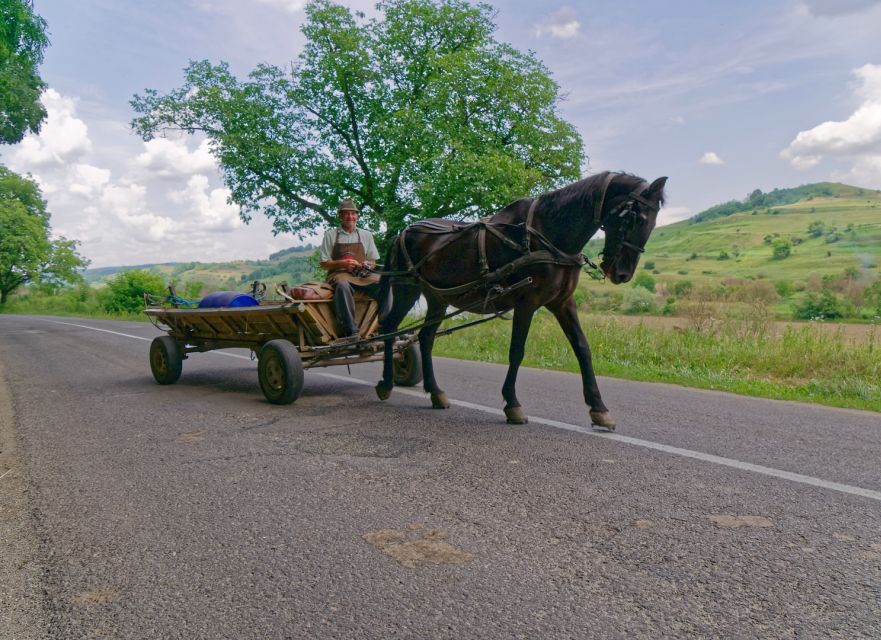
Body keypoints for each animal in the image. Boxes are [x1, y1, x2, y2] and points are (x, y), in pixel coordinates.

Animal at [372, 171, 668, 430]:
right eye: (635, 218)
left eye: (653, 222)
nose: (623, 274)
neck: (545, 234)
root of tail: (403, 231)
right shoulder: (527, 301)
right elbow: (517, 350)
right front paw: (513, 405)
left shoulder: (563, 303)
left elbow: (582, 349)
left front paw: (599, 409)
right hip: (406, 288)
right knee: (390, 328)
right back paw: (386, 383)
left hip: (437, 298)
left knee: (426, 337)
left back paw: (435, 392)